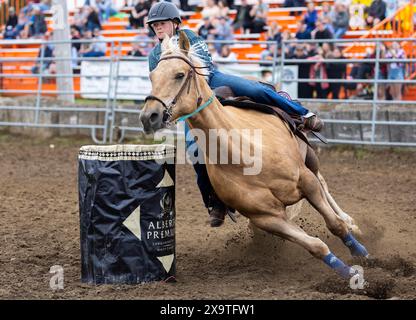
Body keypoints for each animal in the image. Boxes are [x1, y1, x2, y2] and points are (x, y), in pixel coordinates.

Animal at [140, 31, 368, 278]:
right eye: (152, 76)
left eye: (179, 74)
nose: (149, 116)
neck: (243, 153)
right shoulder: (267, 218)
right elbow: (316, 246)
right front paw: (350, 274)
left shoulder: (305, 181)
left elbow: (334, 224)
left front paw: (360, 252)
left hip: (309, 158)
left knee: (323, 184)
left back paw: (352, 222)